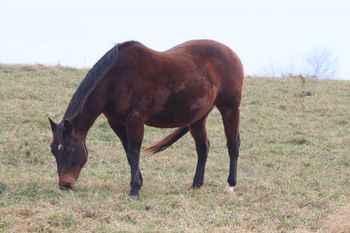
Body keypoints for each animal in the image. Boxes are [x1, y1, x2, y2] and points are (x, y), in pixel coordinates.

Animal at [48, 39, 243, 198]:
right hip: (197, 118)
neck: (117, 78)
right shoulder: (117, 123)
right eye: (53, 151)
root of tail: (232, 53)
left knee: (232, 144)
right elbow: (128, 153)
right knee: (203, 148)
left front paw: (134, 190)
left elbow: (134, 152)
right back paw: (196, 185)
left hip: (230, 108)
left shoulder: (135, 120)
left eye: (69, 149)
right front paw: (137, 183)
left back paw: (230, 185)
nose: (65, 185)